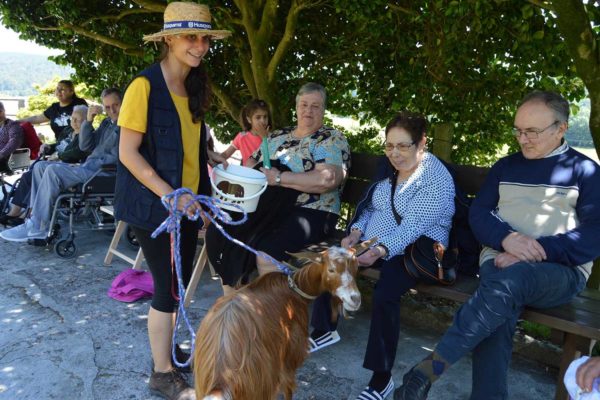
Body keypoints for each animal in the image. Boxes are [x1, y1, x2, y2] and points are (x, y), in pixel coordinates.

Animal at [193, 241, 376, 400]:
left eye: (356, 267)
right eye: (331, 270)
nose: (355, 299)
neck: (295, 289)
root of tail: (221, 378)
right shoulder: (290, 358)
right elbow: (288, 390)